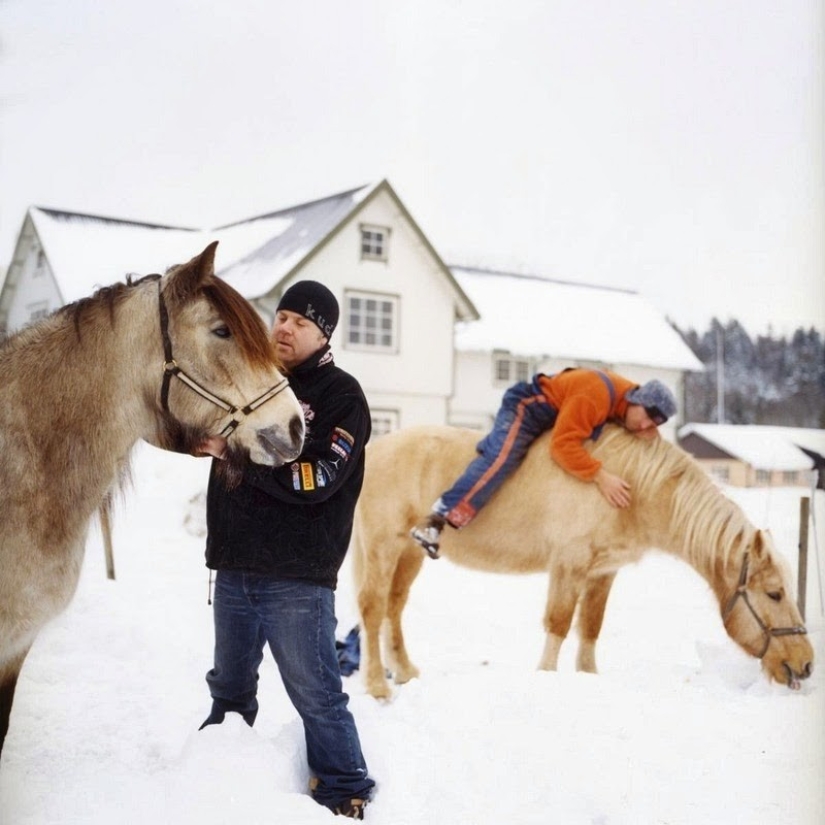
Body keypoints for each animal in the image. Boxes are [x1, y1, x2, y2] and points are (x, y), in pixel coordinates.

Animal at [354, 424, 812, 696]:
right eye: (774, 593)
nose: (806, 664)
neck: (632, 487)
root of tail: (374, 448)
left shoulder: (603, 573)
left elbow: (590, 628)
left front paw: (588, 678)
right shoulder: (569, 565)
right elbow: (558, 624)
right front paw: (545, 677)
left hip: (409, 552)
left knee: (393, 608)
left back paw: (404, 671)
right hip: (383, 544)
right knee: (373, 608)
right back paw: (378, 686)